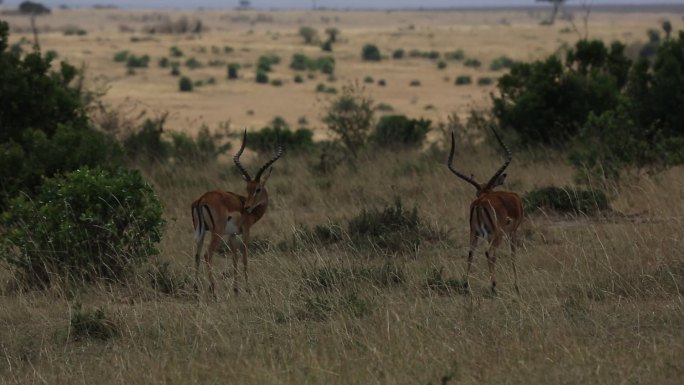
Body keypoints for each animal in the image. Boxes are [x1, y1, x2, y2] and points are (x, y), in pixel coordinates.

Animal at [190, 130, 284, 296]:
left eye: (257, 188)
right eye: (248, 188)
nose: (247, 207)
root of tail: (202, 199)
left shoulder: (232, 235)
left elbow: (234, 258)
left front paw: (236, 289)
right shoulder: (246, 232)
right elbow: (245, 256)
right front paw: (248, 288)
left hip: (200, 232)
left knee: (197, 254)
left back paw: (196, 290)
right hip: (216, 233)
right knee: (207, 254)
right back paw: (213, 291)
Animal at [448, 127, 524, 292]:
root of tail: (480, 202)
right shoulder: (513, 232)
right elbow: (513, 255)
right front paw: (516, 285)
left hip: (475, 233)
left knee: (471, 253)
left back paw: (466, 286)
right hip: (496, 234)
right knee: (489, 252)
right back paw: (494, 286)